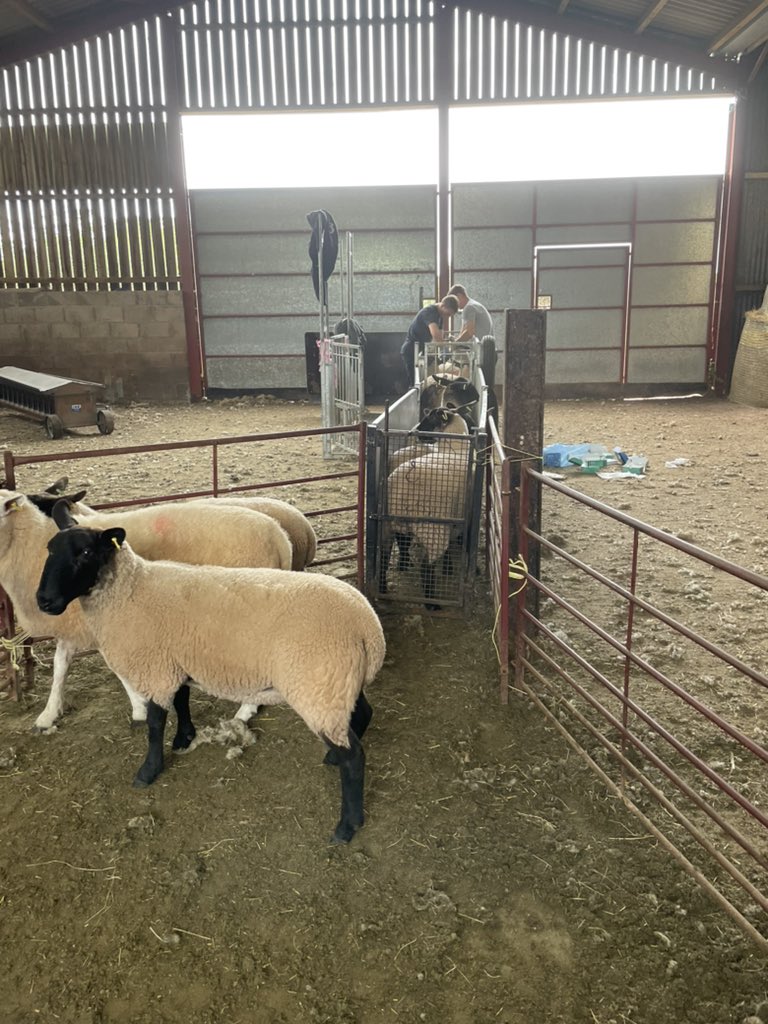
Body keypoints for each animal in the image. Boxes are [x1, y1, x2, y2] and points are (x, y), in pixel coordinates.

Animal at [0, 490, 293, 731]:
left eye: (84, 553)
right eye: (49, 549)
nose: (44, 600)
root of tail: (280, 536)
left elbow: (115, 668)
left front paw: (139, 708)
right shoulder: (79, 625)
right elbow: (60, 666)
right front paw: (48, 714)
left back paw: (246, 709)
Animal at [36, 501, 386, 844]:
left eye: (85, 552)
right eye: (49, 549)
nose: (44, 601)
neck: (131, 591)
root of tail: (368, 626)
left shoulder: (157, 668)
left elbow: (155, 723)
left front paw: (149, 770)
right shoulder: (175, 660)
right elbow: (181, 701)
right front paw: (184, 738)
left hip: (318, 687)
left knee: (354, 756)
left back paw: (347, 826)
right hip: (339, 681)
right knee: (362, 714)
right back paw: (333, 761)